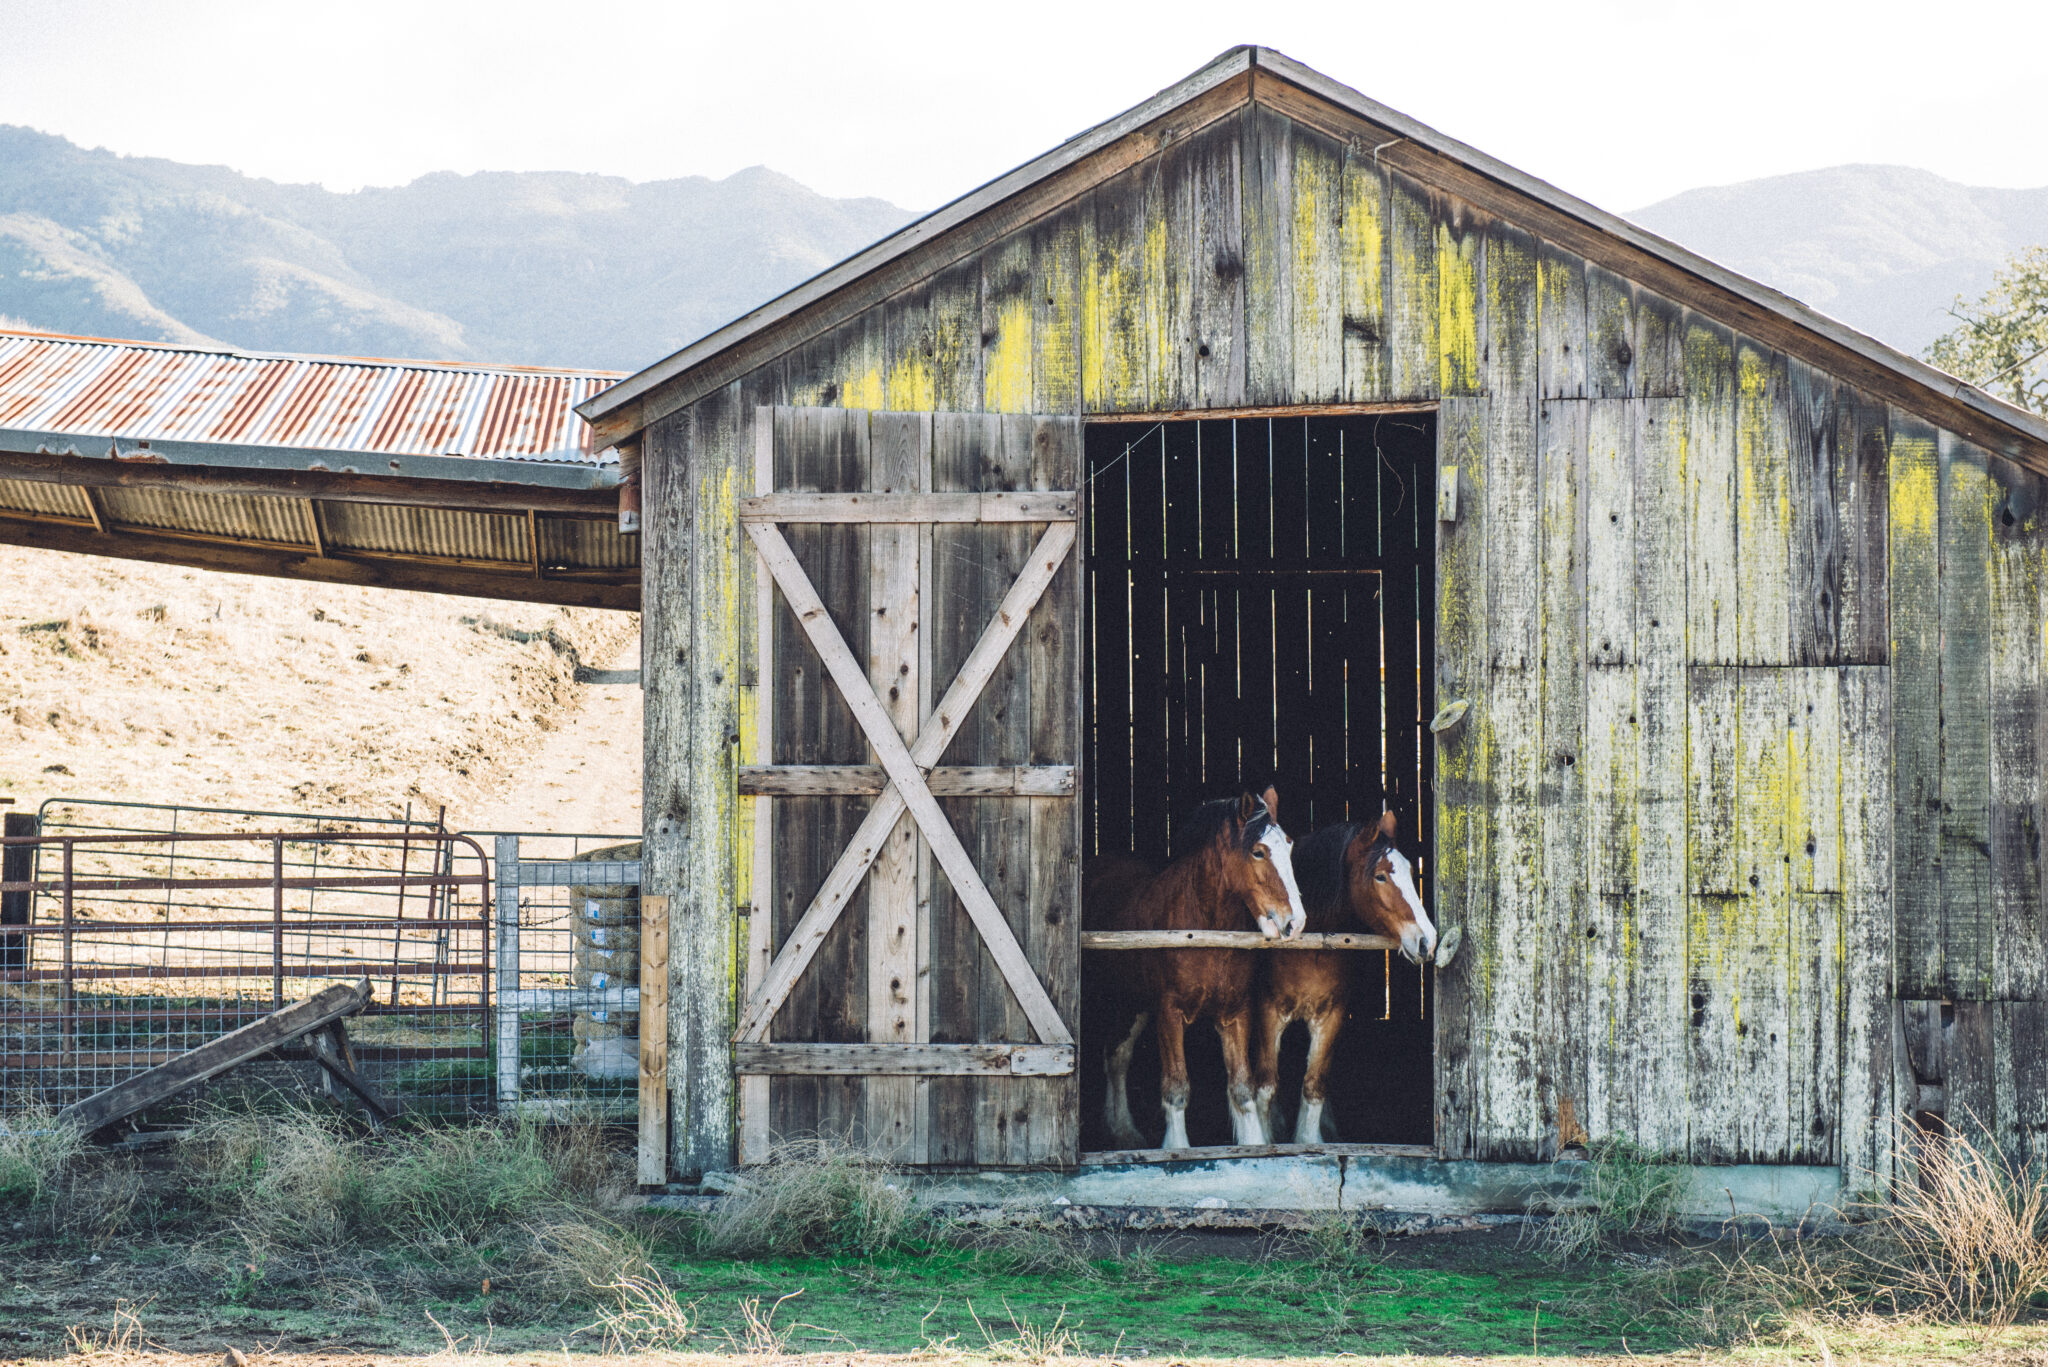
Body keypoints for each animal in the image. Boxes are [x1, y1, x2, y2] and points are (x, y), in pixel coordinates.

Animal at [1089, 791, 1310, 1155]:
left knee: (1117, 1055)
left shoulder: (1236, 1013)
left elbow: (1242, 1089)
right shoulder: (1169, 1014)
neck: (1204, 927)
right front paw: (1177, 1150)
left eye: (1290, 847)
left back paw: (1124, 1131)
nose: (1295, 923)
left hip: (1132, 1001)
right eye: (1258, 851)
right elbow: (1177, 1089)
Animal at [1253, 811, 1433, 1147]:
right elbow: (1266, 1086)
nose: (1428, 941)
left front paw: (1309, 1140)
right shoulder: (1268, 1012)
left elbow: (1314, 1086)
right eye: (1380, 876)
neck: (1308, 948)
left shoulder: (1330, 1015)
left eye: (1409, 871)